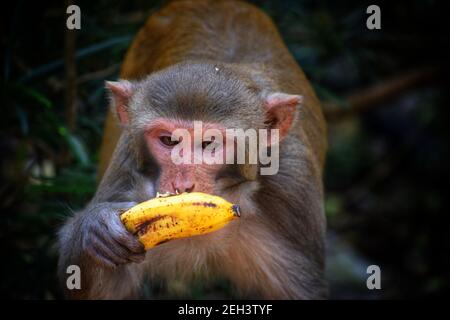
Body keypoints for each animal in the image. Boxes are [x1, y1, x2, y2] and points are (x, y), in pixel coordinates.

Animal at [58, 0, 328, 300]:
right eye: (168, 141)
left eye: (208, 143)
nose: (183, 185)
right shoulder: (126, 163)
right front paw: (96, 227)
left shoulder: (292, 182)